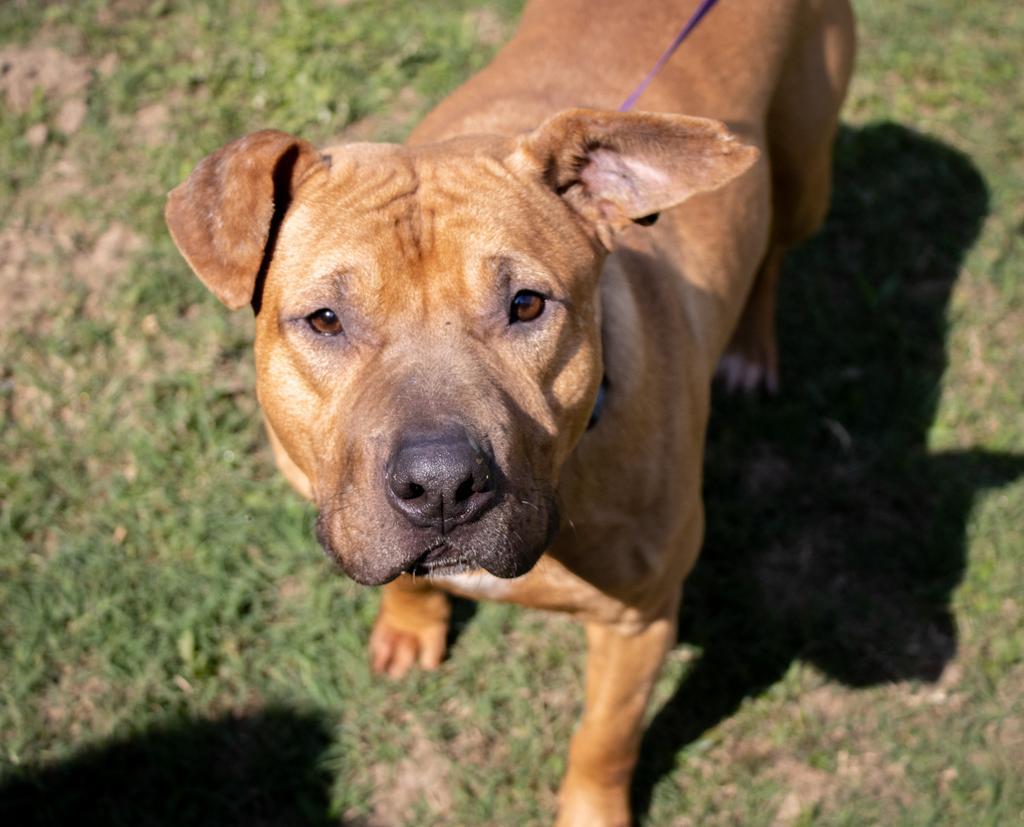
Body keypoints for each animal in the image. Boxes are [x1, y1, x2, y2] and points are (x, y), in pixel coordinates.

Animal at [165, 3, 856, 822]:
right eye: (326, 319)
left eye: (527, 305)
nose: (440, 486)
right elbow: (402, 576)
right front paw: (411, 624)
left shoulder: (641, 620)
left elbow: (605, 737)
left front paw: (591, 810)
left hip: (803, 171)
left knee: (775, 248)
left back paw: (749, 348)